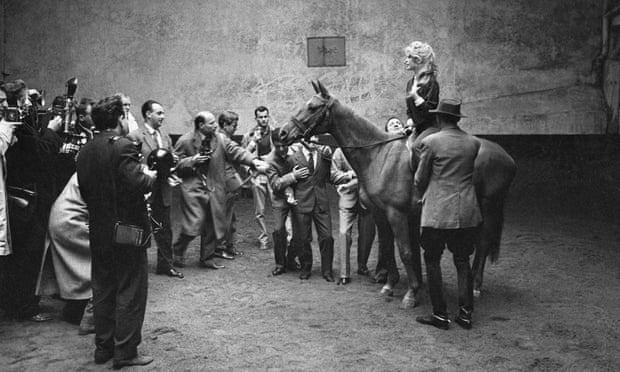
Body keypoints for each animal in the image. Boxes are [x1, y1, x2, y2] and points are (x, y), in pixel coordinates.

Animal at [278, 79, 516, 308]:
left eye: (312, 107)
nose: (282, 133)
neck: (378, 154)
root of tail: (505, 156)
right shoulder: (380, 213)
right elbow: (387, 248)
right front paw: (390, 285)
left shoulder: (397, 213)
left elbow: (405, 251)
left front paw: (411, 293)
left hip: (489, 207)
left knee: (483, 243)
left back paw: (475, 286)